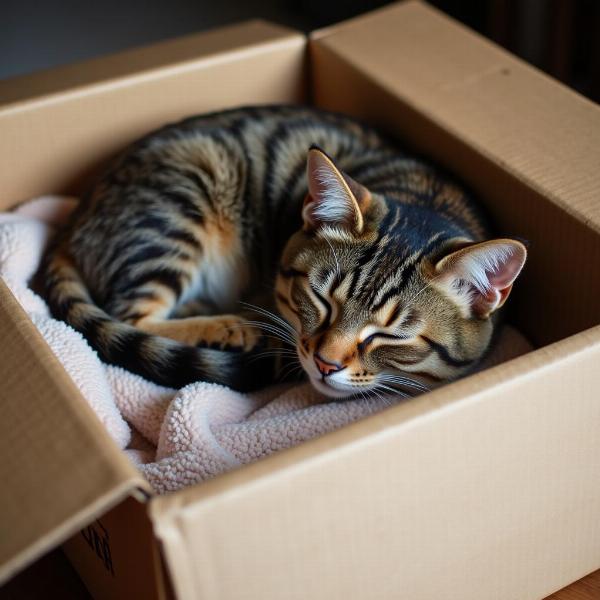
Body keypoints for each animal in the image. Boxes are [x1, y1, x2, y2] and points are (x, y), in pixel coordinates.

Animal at [44, 106, 528, 398]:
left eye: (392, 335)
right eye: (320, 299)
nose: (325, 364)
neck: (426, 196)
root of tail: (73, 219)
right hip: (177, 210)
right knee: (131, 314)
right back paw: (229, 326)